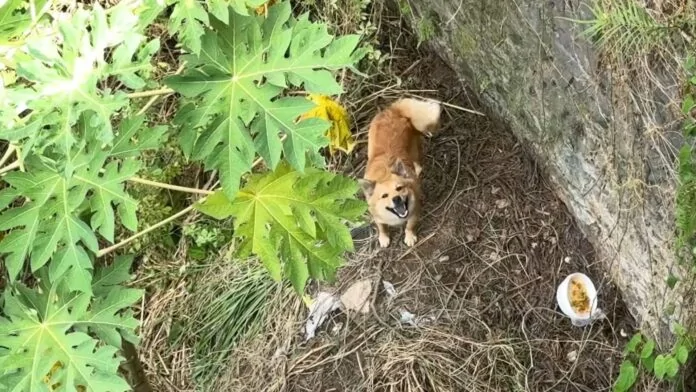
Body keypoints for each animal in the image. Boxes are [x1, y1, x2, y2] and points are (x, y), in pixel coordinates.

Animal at [358, 98, 440, 247]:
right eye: (384, 196)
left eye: (399, 188)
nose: (396, 198)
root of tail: (392, 111)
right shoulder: (377, 217)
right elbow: (382, 227)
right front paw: (384, 238)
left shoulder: (414, 212)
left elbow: (409, 226)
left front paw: (409, 237)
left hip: (415, 150)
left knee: (418, 162)